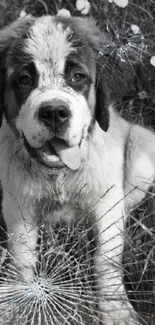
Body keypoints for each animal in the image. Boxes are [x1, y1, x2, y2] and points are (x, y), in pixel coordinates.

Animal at [0, 14, 155, 324]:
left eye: (78, 77)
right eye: (24, 80)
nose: (54, 112)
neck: (59, 174)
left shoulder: (108, 199)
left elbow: (106, 259)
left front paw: (116, 310)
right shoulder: (17, 204)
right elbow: (23, 256)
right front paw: (20, 304)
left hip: (143, 149)